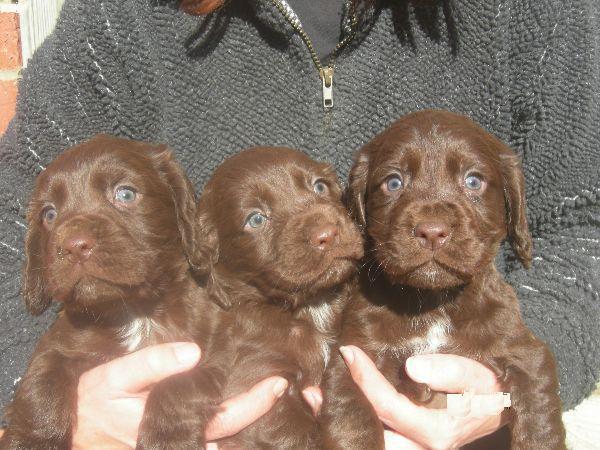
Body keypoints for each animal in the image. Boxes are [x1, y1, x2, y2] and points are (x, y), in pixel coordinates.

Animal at [0, 135, 225, 450]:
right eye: (49, 214)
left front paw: (166, 441)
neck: (134, 312)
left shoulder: (220, 352)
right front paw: (32, 441)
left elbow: (179, 384)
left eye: (125, 194)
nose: (73, 245)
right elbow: (40, 384)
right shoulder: (57, 344)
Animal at [195, 147, 364, 446]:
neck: (310, 307)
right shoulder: (261, 382)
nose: (328, 234)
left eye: (320, 186)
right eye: (256, 219)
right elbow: (295, 434)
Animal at [322, 110, 564, 450]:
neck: (434, 303)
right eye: (393, 182)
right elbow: (353, 426)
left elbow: (540, 421)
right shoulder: (353, 358)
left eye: (473, 180)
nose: (432, 230)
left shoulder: (525, 353)